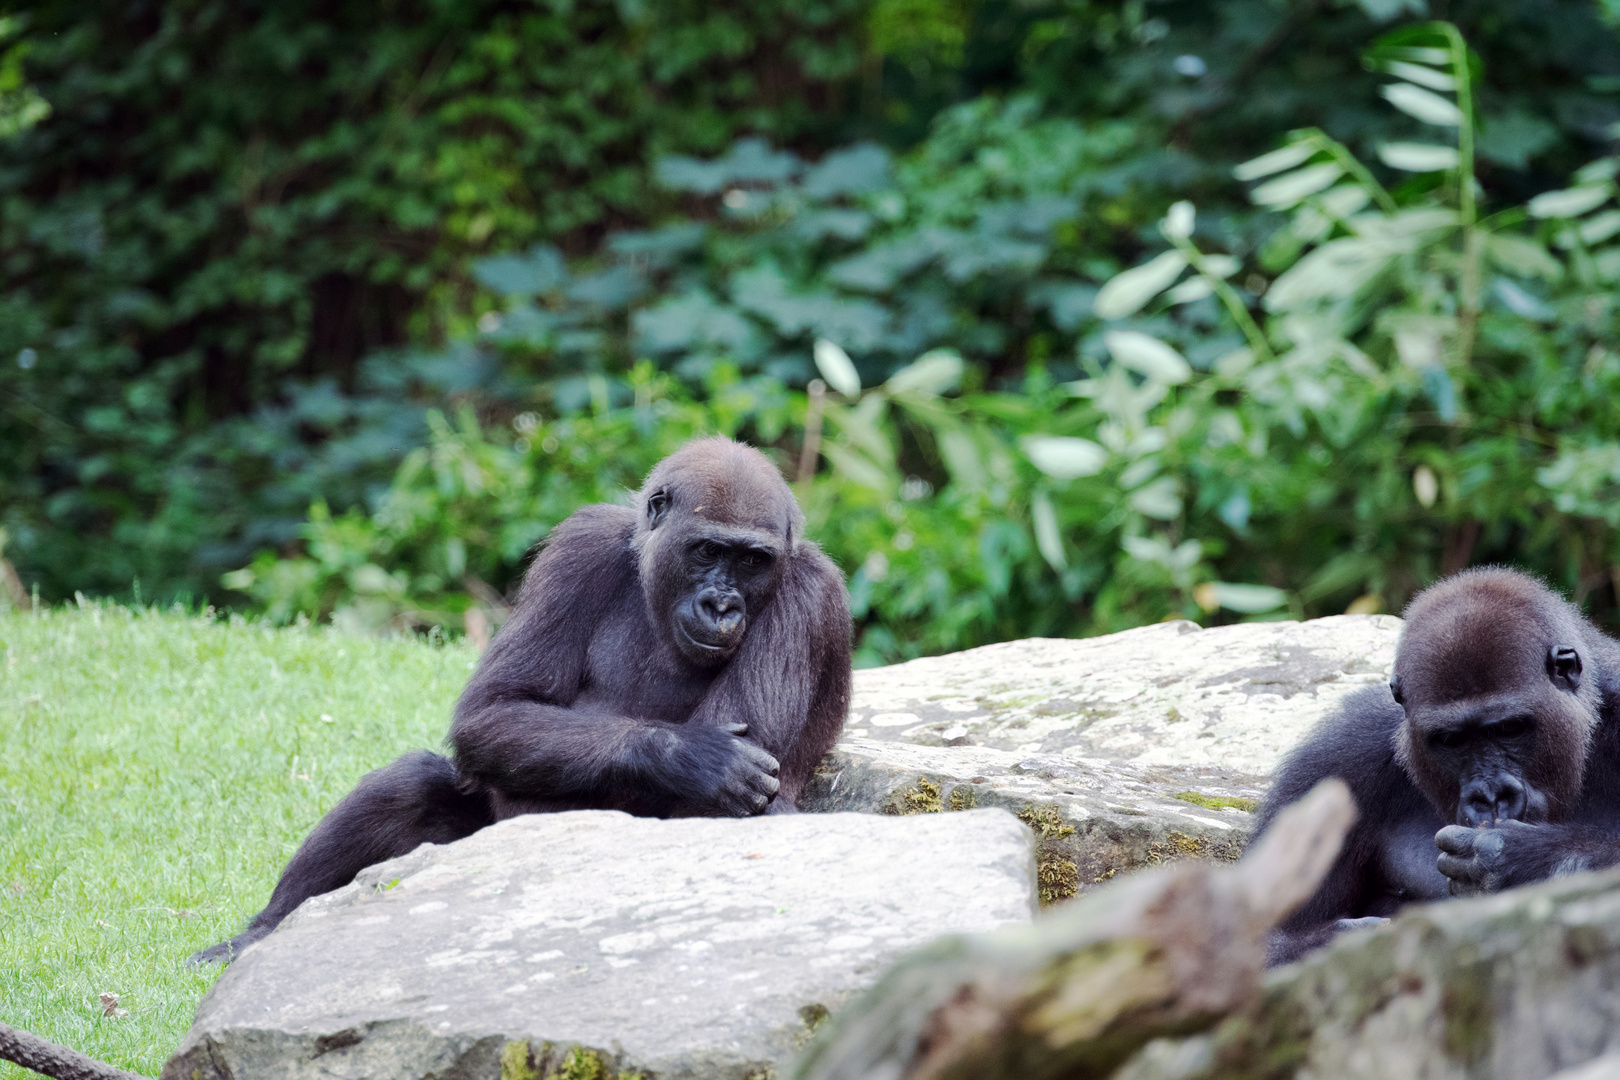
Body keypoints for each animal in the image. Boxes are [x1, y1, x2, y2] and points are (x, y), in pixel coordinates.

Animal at [191, 440, 855, 965]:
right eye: (708, 551)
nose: (722, 605)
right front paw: (684, 754)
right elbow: (496, 708)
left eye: (752, 560)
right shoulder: (581, 546)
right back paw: (263, 933)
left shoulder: (806, 590)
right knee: (412, 781)